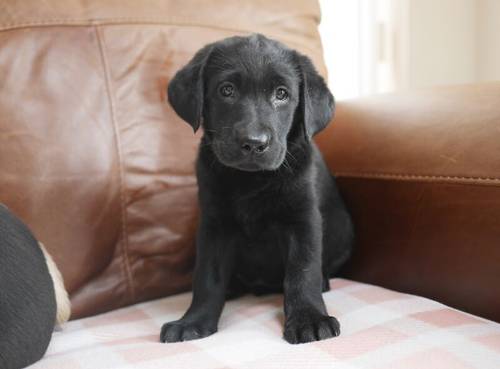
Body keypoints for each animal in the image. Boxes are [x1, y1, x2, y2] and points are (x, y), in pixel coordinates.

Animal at [162, 33, 354, 344]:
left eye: (282, 94)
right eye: (226, 90)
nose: (253, 143)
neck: (252, 180)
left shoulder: (303, 220)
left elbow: (302, 271)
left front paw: (309, 318)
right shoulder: (214, 225)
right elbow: (207, 276)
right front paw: (193, 320)